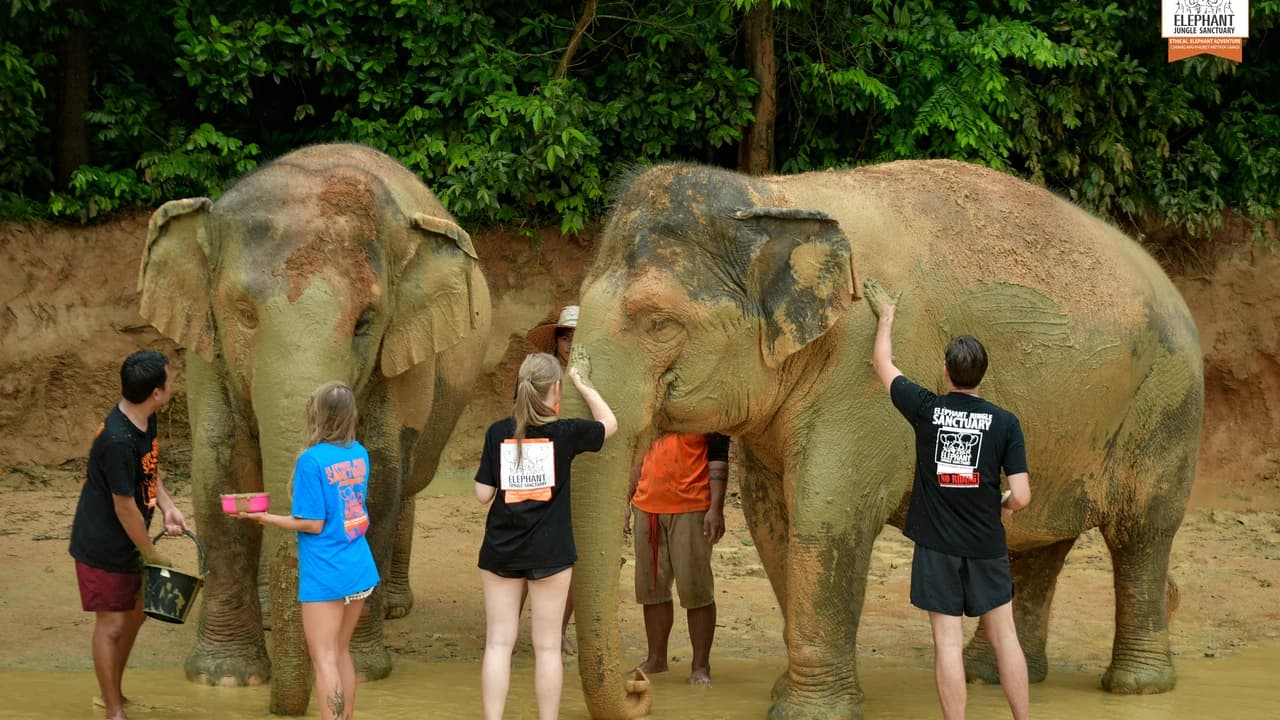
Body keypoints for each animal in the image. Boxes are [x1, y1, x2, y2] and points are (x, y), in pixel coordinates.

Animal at [138, 143, 491, 714]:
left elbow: (380, 475)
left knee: (408, 482)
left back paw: (393, 608)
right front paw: (225, 680)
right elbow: (220, 469)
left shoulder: (399, 354)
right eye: (243, 313)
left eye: (365, 321)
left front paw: (362, 670)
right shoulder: (206, 351)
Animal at [561, 160, 1203, 719]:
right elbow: (774, 524)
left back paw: (1136, 687)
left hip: (1166, 406)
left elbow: (827, 514)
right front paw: (787, 693)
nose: (640, 686)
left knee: (1142, 532)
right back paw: (991, 677)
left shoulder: (859, 372)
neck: (771, 195)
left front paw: (807, 713)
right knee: (1036, 541)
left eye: (659, 323)